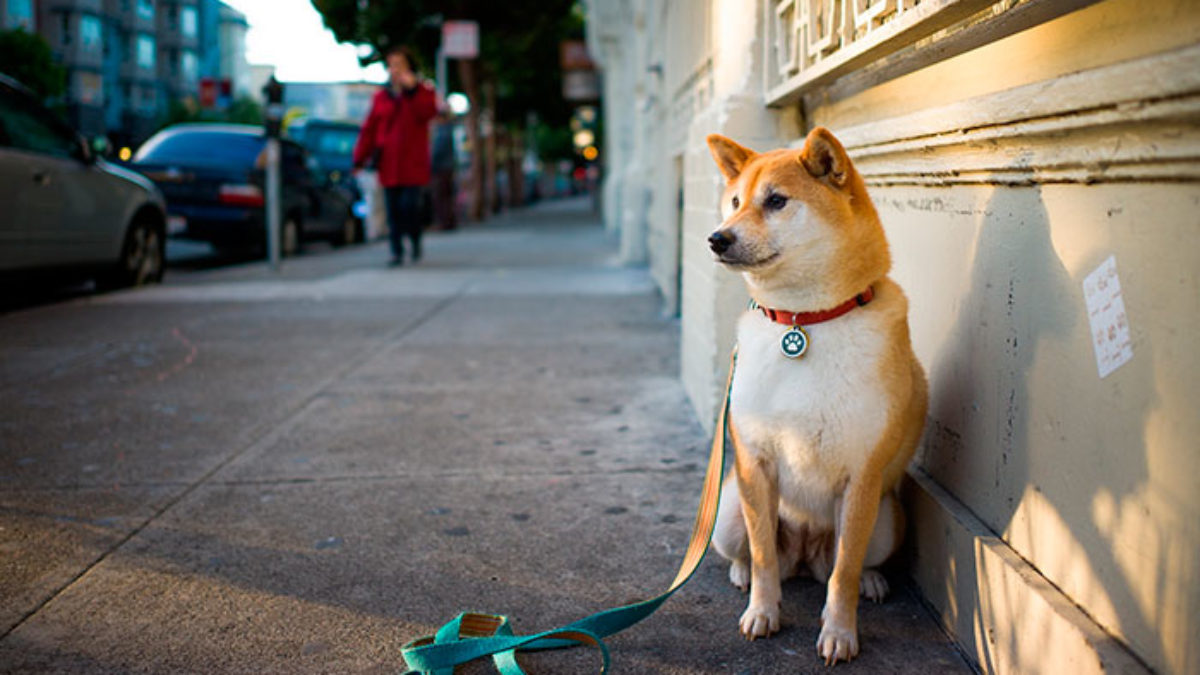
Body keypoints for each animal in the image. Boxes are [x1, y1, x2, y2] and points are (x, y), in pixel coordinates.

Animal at [700, 126, 926, 662]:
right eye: (734, 202)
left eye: (776, 201)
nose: (717, 237)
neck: (804, 321)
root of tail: (804, 555)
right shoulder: (756, 464)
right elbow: (763, 554)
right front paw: (763, 612)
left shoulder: (862, 479)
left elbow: (844, 571)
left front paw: (840, 632)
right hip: (729, 510)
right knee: (756, 554)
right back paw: (742, 573)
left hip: (887, 519)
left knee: (847, 564)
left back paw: (872, 581)